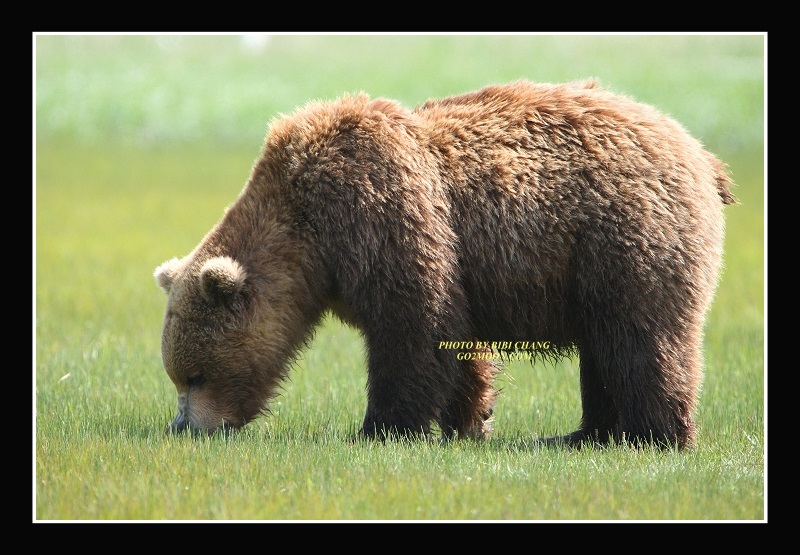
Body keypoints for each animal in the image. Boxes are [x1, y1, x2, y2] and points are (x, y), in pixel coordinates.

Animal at [153, 78, 736, 450]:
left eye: (197, 375)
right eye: (178, 376)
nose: (185, 427)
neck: (308, 234)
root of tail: (700, 152)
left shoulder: (375, 209)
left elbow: (415, 324)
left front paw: (379, 429)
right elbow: (458, 341)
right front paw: (471, 419)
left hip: (626, 234)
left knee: (642, 339)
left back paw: (652, 436)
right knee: (604, 346)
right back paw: (582, 434)